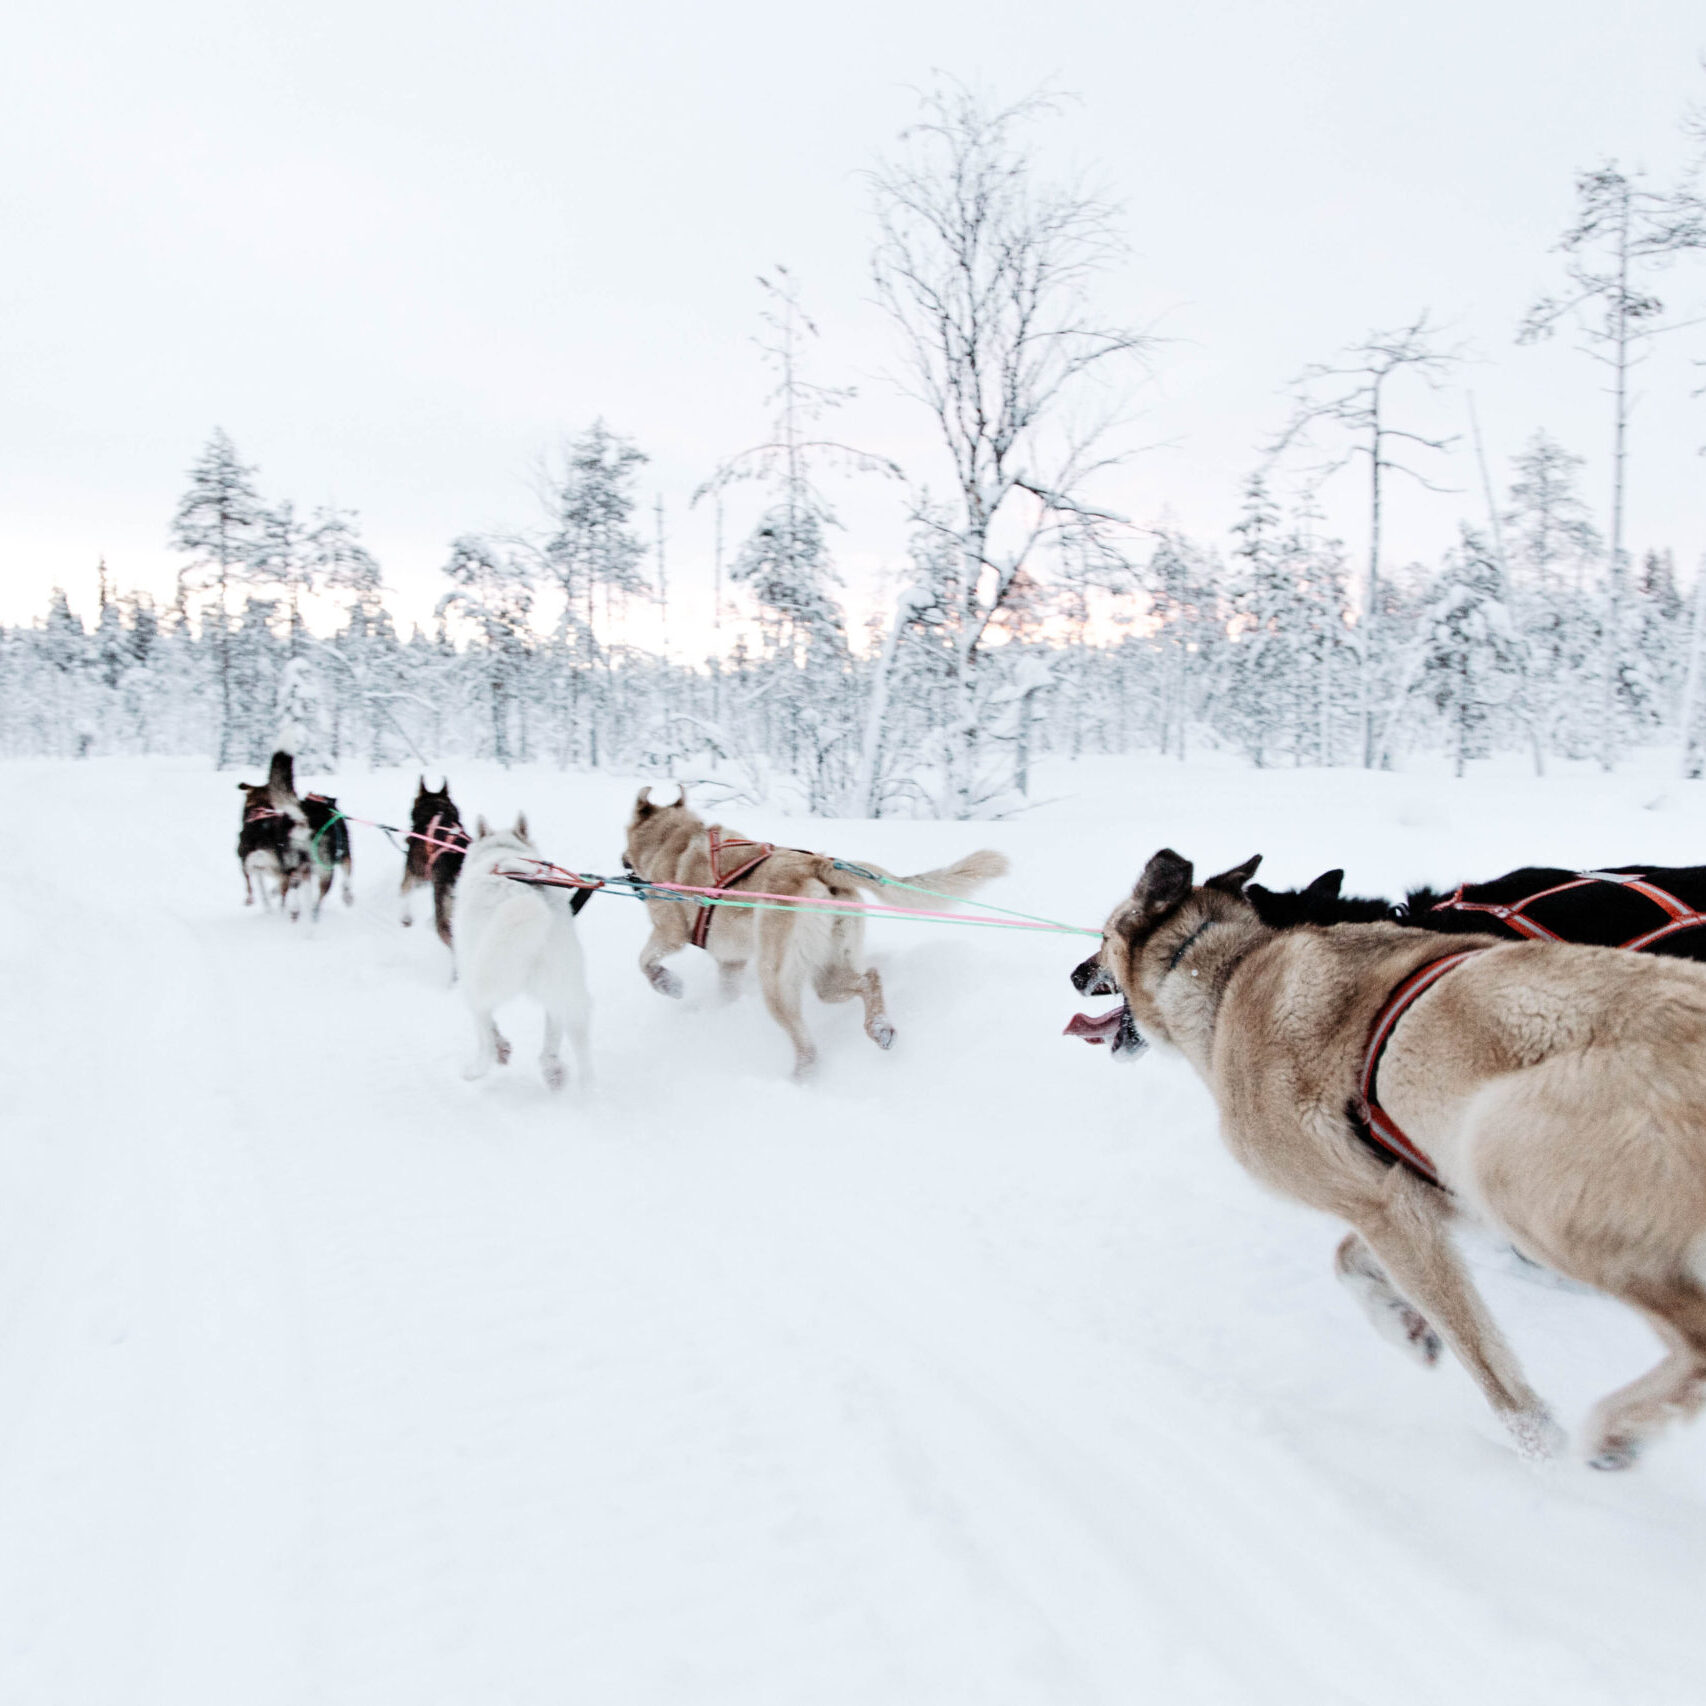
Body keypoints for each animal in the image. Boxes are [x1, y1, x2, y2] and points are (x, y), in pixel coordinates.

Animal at [453, 815, 593, 1091]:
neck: (504, 851)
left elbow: (488, 1027)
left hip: (479, 975)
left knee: (484, 1028)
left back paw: (479, 1067)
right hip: (566, 987)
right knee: (568, 1039)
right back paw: (569, 1081)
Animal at [624, 788, 996, 1078]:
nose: (624, 860)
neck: (673, 839)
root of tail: (818, 864)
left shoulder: (669, 932)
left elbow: (645, 962)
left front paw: (667, 984)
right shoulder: (731, 963)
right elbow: (725, 991)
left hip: (777, 982)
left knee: (807, 1045)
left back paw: (801, 1077)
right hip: (828, 975)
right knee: (869, 978)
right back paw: (879, 1027)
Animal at [1078, 846, 1706, 1473]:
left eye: (1104, 935)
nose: (1076, 973)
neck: (1227, 969)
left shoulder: (1382, 1205)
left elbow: (1480, 1352)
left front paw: (1537, 1445)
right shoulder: (1411, 1194)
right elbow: (1349, 1260)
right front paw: (1404, 1325)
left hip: (1503, 1167)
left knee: (1695, 1337)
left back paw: (1615, 1432)